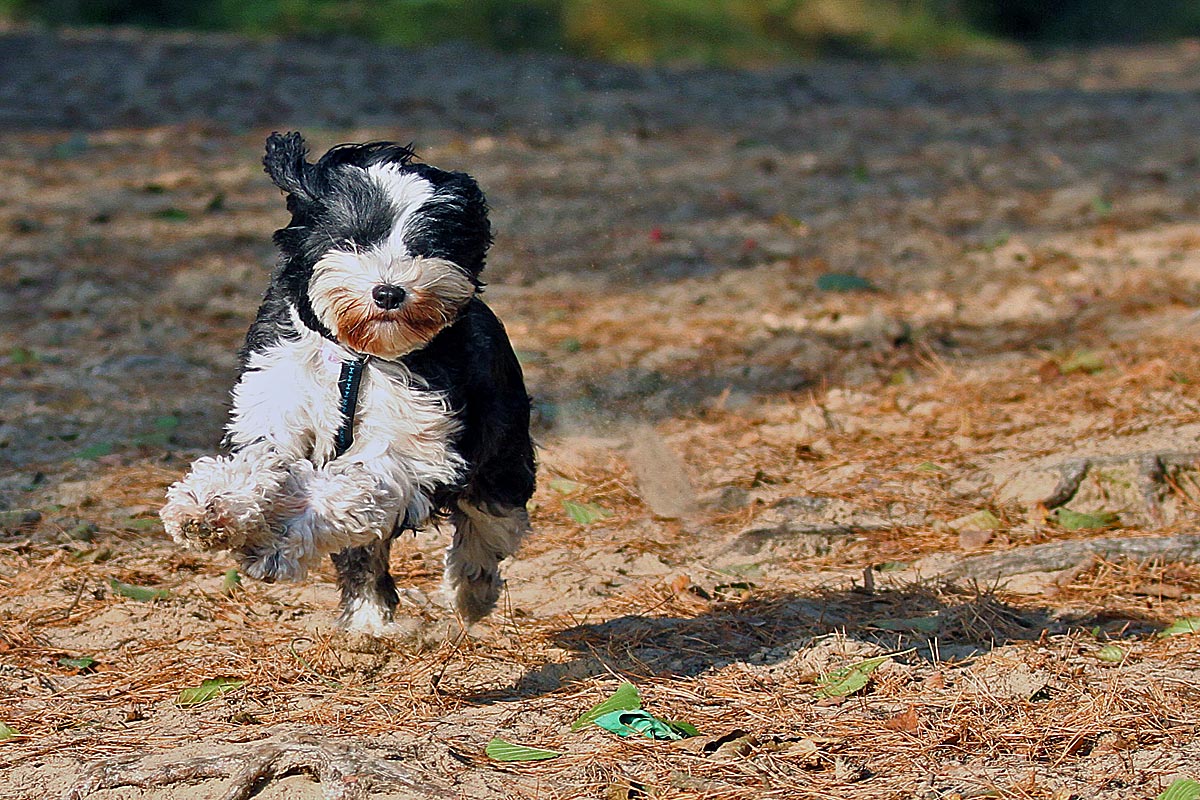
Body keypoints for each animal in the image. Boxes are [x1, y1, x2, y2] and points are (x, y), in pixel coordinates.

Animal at [159, 130, 535, 633]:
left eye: (427, 245)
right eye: (353, 239)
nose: (389, 292)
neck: (356, 357)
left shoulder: (410, 446)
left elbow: (345, 489)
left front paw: (279, 543)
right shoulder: (274, 402)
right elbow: (260, 461)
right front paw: (210, 504)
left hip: (501, 457)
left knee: (490, 523)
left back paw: (469, 591)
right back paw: (369, 621)